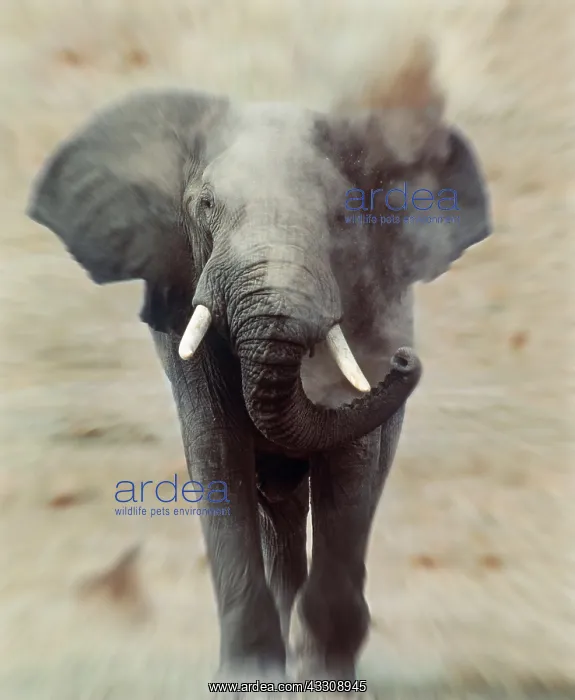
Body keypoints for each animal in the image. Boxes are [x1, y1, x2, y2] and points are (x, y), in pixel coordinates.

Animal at [26, 88, 491, 691]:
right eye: (204, 206)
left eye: (344, 214)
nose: (404, 358)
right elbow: (216, 449)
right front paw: (251, 674)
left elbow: (349, 468)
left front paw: (327, 678)